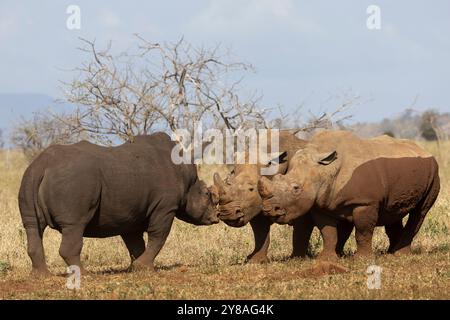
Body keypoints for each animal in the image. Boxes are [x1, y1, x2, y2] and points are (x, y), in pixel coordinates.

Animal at [18, 131, 219, 276]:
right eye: (206, 194)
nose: (216, 217)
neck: (187, 178)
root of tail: (42, 166)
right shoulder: (165, 207)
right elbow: (158, 236)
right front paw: (146, 268)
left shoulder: (130, 212)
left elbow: (135, 243)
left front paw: (136, 268)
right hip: (74, 182)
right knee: (74, 226)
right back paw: (85, 274)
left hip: (28, 178)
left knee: (32, 226)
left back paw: (41, 276)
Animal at [212, 131, 356, 262]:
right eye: (228, 182)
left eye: (251, 189)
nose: (226, 213)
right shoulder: (255, 207)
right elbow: (261, 234)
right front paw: (256, 260)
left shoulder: (301, 201)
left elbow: (300, 231)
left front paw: (296, 259)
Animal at [258, 130, 442, 260]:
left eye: (296, 188)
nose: (268, 210)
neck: (325, 169)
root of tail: (422, 149)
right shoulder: (322, 204)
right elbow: (329, 232)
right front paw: (327, 259)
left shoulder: (365, 202)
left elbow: (363, 231)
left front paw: (361, 260)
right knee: (394, 211)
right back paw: (391, 252)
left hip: (434, 171)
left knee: (420, 212)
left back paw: (400, 254)